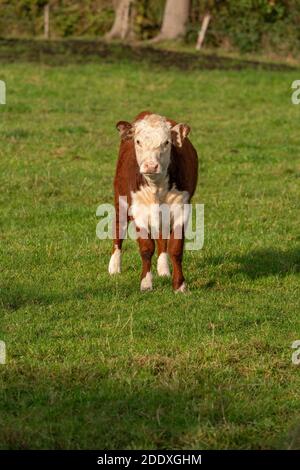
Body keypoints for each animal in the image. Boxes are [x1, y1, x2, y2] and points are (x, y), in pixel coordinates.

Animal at [109, 111, 198, 292]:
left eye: (166, 142)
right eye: (138, 141)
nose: (150, 166)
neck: (156, 188)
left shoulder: (181, 208)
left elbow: (175, 248)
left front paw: (180, 285)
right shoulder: (138, 210)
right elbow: (146, 247)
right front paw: (146, 283)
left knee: (162, 238)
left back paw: (163, 269)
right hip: (120, 200)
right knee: (118, 228)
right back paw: (114, 266)